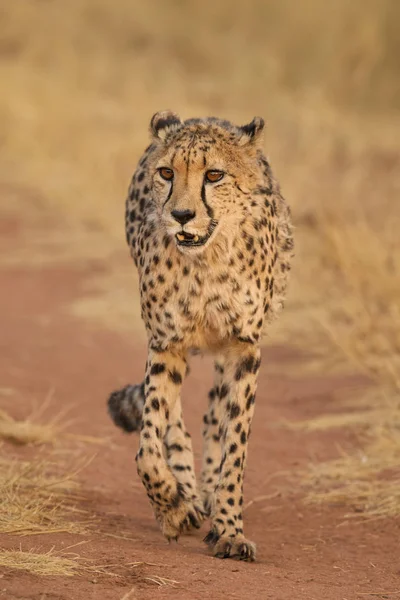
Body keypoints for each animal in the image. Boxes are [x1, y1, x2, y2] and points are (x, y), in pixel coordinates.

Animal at [107, 110, 294, 560]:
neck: (206, 259)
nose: (181, 214)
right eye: (166, 173)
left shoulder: (243, 348)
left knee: (213, 414)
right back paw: (188, 495)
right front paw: (173, 508)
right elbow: (147, 445)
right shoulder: (166, 343)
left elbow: (235, 447)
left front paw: (228, 529)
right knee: (173, 421)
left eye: (214, 175)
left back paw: (206, 493)